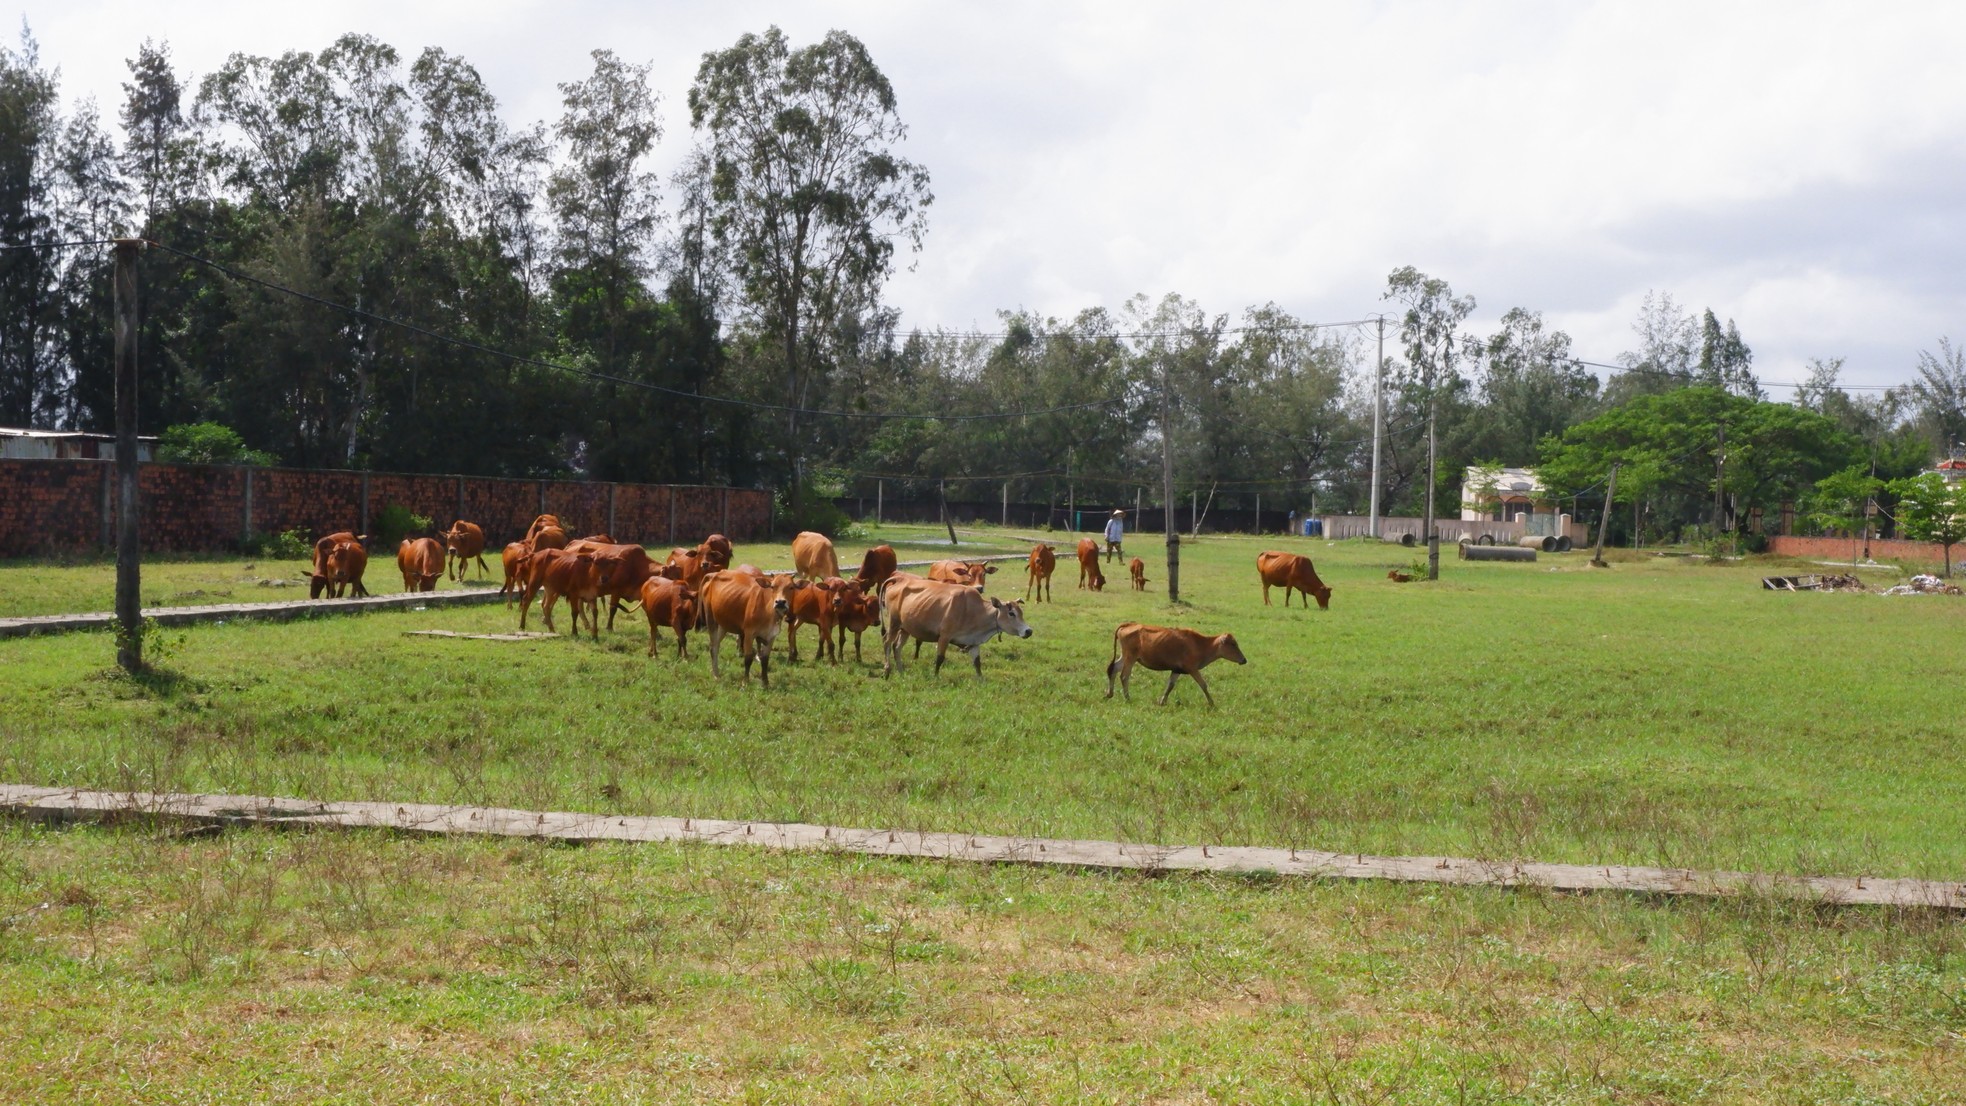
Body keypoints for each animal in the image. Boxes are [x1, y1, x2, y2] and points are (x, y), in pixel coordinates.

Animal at [876, 577, 1030, 679]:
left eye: (1021, 612)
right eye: (1011, 613)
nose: (1028, 631)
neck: (972, 610)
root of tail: (900, 580)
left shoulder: (973, 642)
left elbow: (977, 663)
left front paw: (981, 680)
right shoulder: (944, 636)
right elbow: (940, 658)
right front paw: (935, 676)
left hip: (905, 628)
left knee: (897, 647)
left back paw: (901, 672)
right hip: (894, 623)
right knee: (887, 642)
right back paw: (887, 670)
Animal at [1100, 624, 1250, 711]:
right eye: (1233, 644)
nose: (1244, 660)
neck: (1201, 644)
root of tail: (1129, 625)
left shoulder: (1176, 670)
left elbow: (1170, 685)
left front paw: (1162, 701)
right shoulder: (1192, 669)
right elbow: (1203, 684)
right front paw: (1212, 703)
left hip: (1126, 656)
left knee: (1114, 669)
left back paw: (1109, 693)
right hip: (1130, 657)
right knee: (1124, 676)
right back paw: (1127, 698)